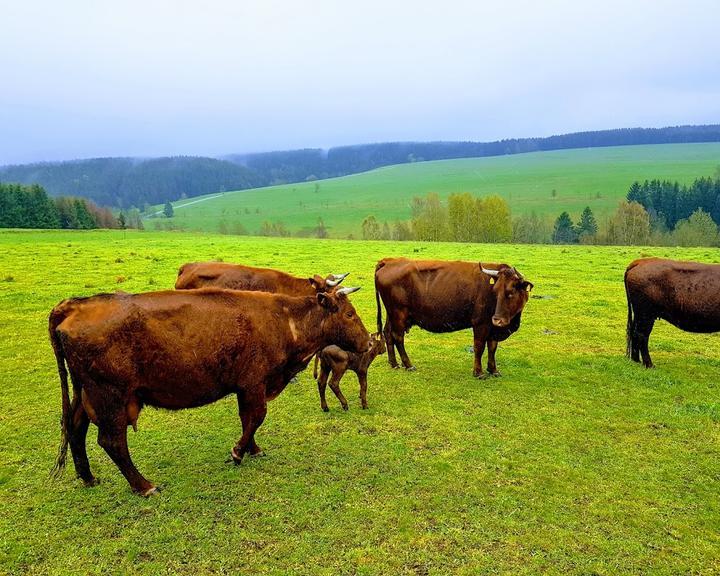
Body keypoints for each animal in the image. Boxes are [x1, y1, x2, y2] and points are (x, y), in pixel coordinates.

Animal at [49, 286, 372, 496]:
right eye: (349, 314)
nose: (369, 341)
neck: (284, 319)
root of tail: (76, 306)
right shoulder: (254, 383)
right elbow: (256, 417)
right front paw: (238, 452)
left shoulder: (245, 386)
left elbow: (247, 419)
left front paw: (252, 448)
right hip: (110, 398)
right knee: (112, 442)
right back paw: (144, 486)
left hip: (85, 395)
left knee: (75, 428)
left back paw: (88, 477)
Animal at [374, 258, 532, 378]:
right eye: (495, 291)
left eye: (510, 292)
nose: (497, 319)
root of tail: (389, 261)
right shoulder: (481, 324)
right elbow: (479, 347)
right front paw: (478, 372)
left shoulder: (493, 328)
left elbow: (492, 348)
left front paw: (493, 370)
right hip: (399, 314)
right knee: (398, 337)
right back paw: (408, 364)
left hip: (392, 314)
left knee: (388, 333)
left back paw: (394, 363)